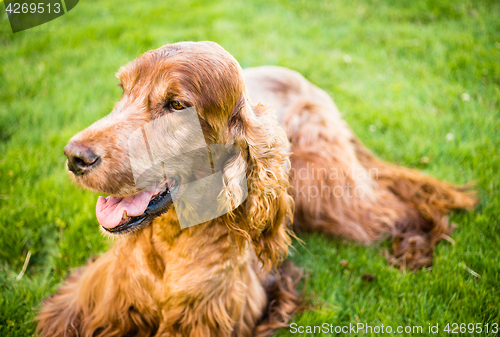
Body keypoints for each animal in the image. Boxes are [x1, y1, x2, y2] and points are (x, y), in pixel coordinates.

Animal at [36, 42, 476, 336]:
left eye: (177, 105)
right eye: (123, 90)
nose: (75, 157)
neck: (171, 242)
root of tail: (304, 81)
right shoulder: (82, 304)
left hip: (324, 190)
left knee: (393, 208)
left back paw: (413, 249)